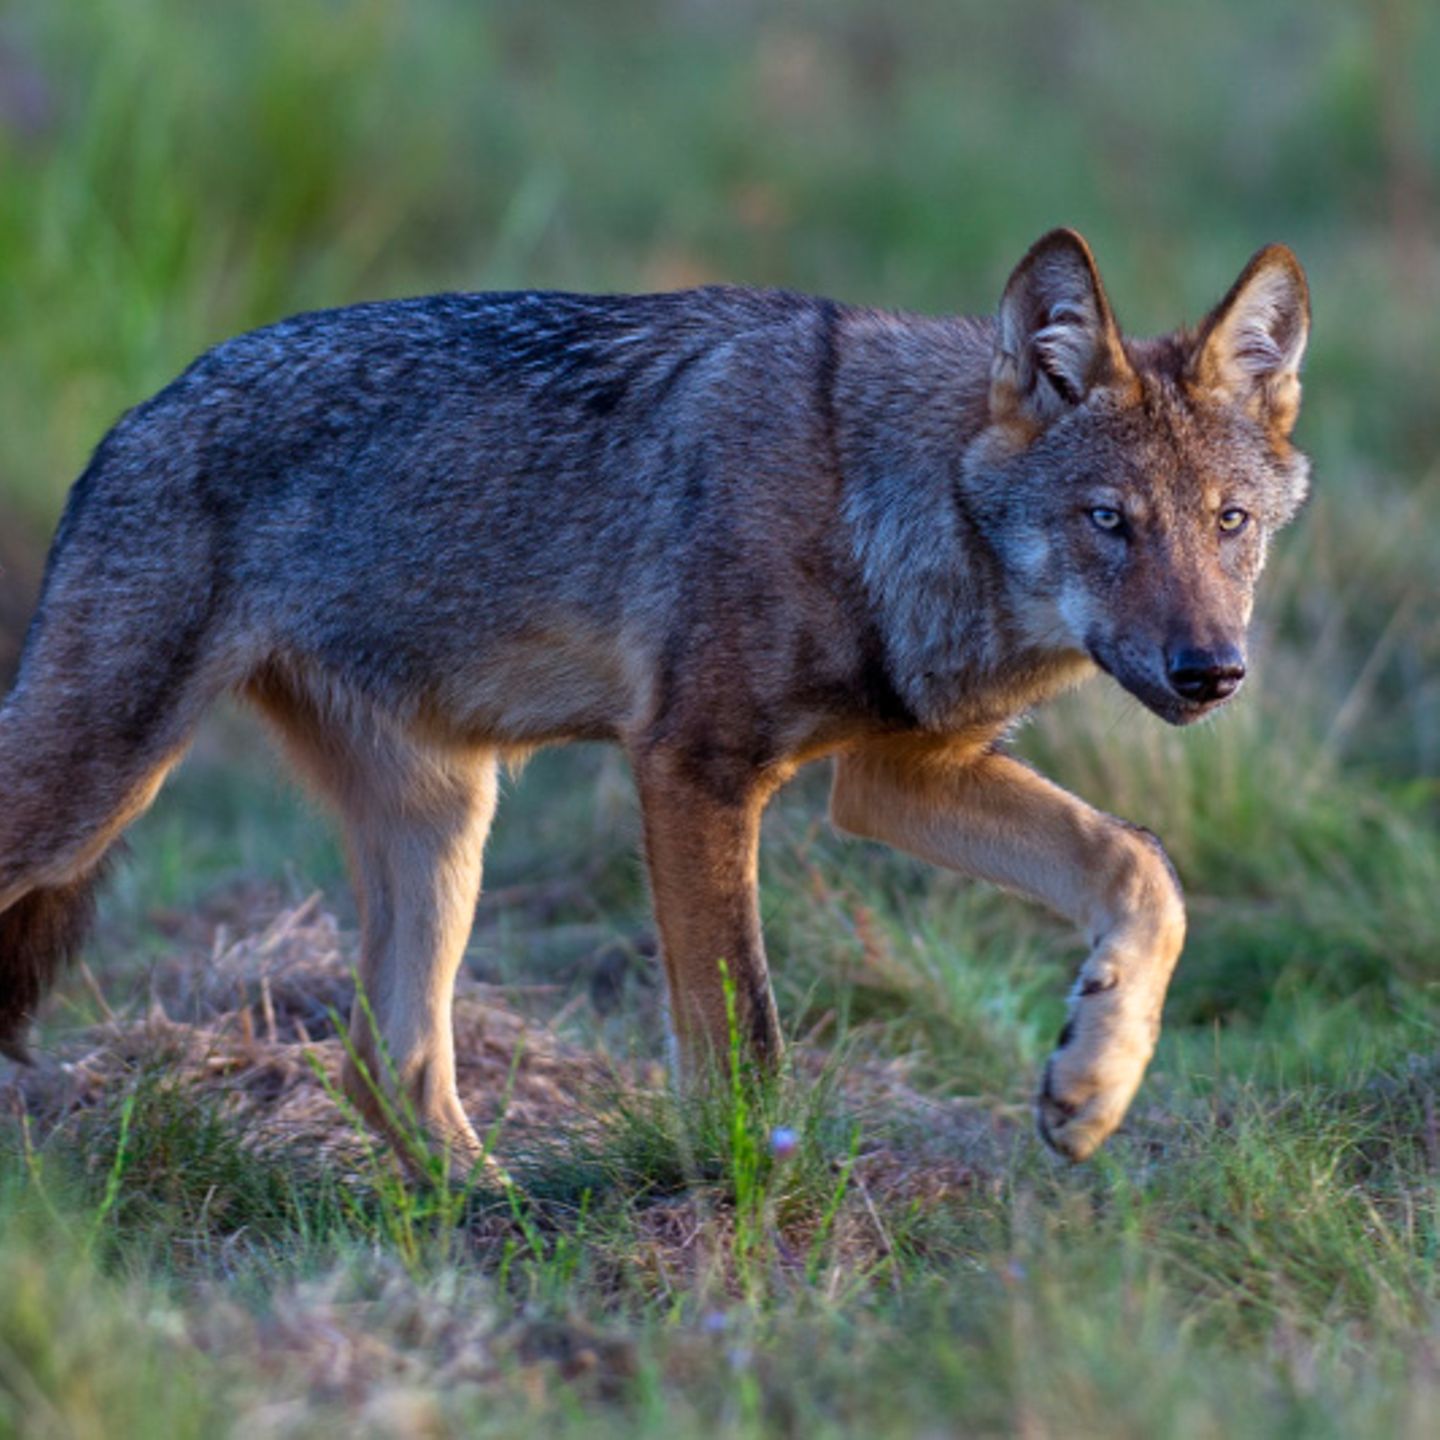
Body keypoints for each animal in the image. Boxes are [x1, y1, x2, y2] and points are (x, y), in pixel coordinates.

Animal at [0, 229, 1309, 1168]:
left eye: (1228, 523)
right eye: (1109, 521)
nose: (1211, 671)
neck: (872, 500)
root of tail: (131, 422)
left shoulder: (895, 777)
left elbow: (1144, 868)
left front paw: (1091, 1088)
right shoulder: (694, 769)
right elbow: (747, 1044)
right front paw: (754, 1220)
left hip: (446, 824)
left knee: (390, 1064)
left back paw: (500, 1218)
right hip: (93, 790)